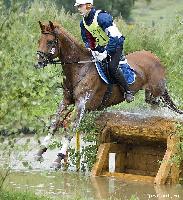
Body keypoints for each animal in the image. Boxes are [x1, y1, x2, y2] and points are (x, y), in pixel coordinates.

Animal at [34, 21, 182, 169]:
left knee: (160, 105)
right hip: (150, 96)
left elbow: (71, 127)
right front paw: (40, 151)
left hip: (157, 92)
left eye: (50, 42)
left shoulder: (82, 104)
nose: (38, 63)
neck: (80, 69)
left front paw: (58, 158)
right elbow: (54, 123)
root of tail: (155, 57)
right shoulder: (66, 100)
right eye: (39, 40)